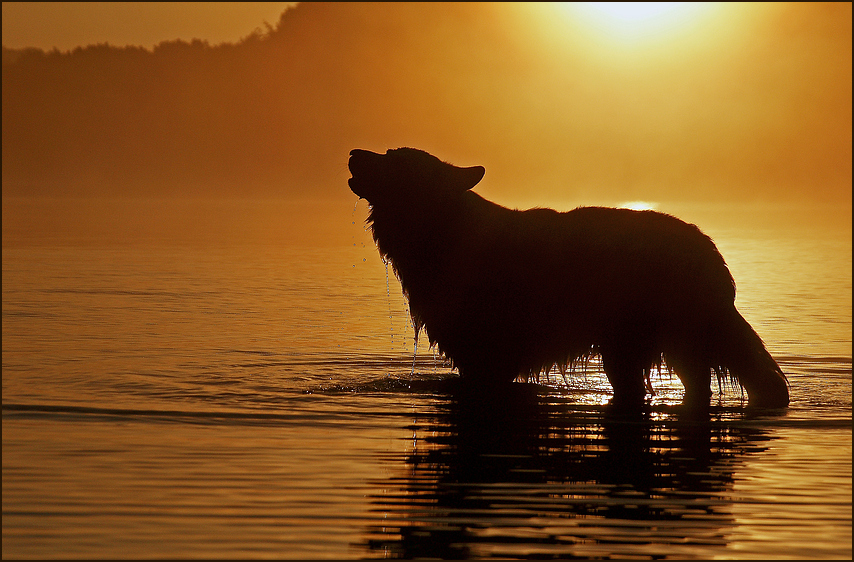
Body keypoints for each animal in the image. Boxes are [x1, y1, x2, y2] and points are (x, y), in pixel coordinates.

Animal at [346, 147, 788, 404]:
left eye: (393, 158)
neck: (441, 231)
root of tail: (712, 252)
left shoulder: (487, 355)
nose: (352, 152)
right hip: (629, 348)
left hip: (669, 340)